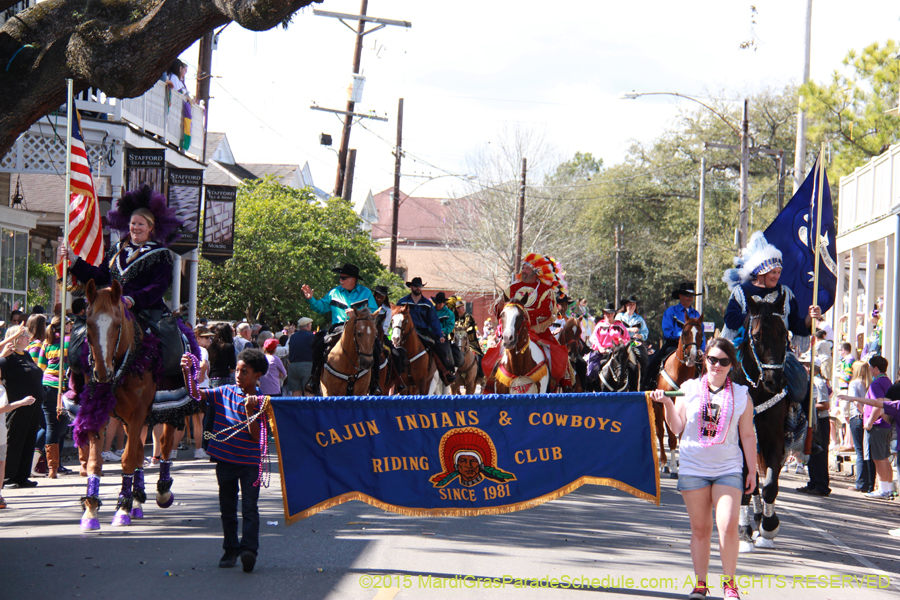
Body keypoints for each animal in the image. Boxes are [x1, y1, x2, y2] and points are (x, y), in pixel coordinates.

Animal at [76, 282, 184, 528]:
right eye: (89, 324)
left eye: (117, 325)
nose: (102, 373)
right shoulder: (99, 413)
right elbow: (95, 462)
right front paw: (91, 510)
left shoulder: (138, 413)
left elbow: (127, 460)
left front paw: (122, 509)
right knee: (139, 452)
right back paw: (137, 501)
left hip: (169, 411)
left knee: (164, 444)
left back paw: (162, 493)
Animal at [652, 314, 708, 474]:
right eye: (684, 332)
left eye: (701, 334)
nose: (693, 356)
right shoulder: (667, 407)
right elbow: (671, 437)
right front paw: (673, 468)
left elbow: (683, 434)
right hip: (658, 408)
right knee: (660, 432)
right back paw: (664, 463)